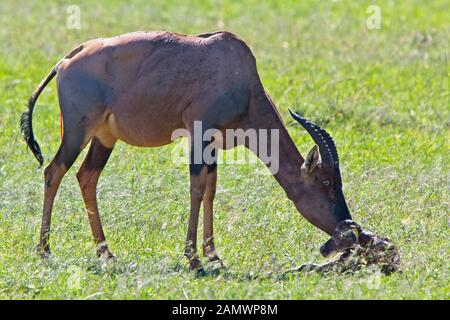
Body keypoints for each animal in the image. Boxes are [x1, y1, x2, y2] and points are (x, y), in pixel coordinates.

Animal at [22, 30, 352, 272]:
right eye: (325, 182)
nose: (349, 235)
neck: (235, 69)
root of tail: (66, 60)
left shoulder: (214, 144)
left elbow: (211, 190)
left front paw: (214, 254)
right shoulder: (198, 133)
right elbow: (196, 188)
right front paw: (193, 259)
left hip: (104, 137)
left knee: (86, 177)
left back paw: (106, 253)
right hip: (78, 132)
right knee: (53, 172)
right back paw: (44, 250)